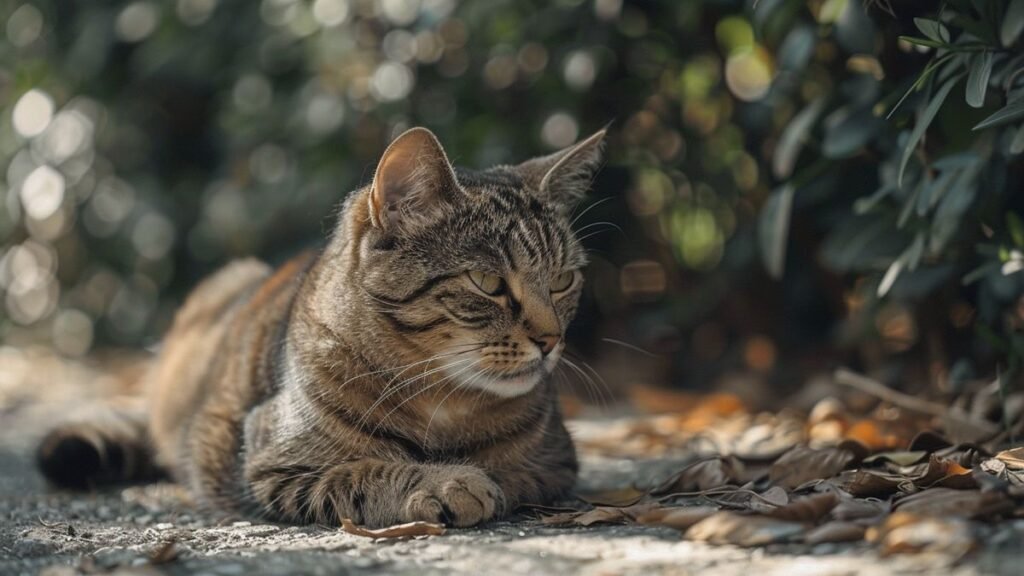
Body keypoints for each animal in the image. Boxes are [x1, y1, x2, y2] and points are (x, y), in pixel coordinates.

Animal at [36, 125, 602, 524]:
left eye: (563, 280)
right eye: (487, 281)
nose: (552, 339)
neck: (443, 403)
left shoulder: (555, 462)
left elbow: (515, 471)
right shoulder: (271, 462)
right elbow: (363, 472)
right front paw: (444, 482)